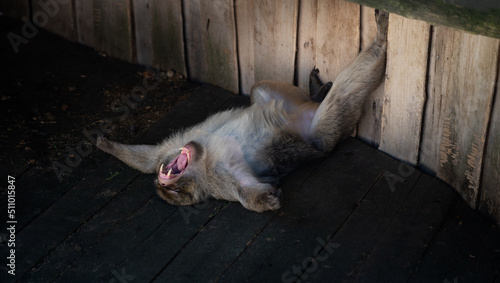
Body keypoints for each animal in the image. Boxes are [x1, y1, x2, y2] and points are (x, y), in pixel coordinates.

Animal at [95, 9, 388, 213]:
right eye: (173, 186)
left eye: (168, 171)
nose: (165, 172)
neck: (205, 157)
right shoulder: (218, 178)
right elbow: (245, 189)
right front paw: (264, 201)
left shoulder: (173, 147)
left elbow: (147, 159)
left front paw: (107, 145)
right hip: (323, 133)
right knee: (339, 104)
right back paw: (380, 44)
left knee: (259, 90)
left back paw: (317, 92)